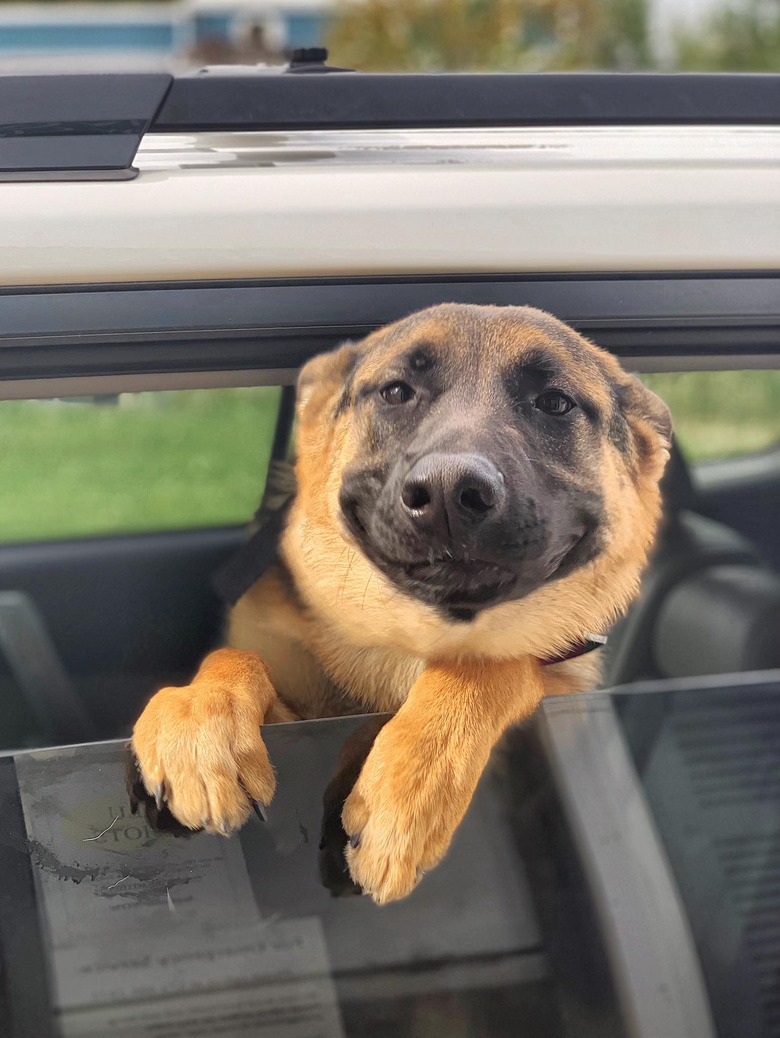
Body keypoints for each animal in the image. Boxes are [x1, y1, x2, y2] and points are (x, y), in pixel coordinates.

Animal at [129, 303, 673, 905]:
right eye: (395, 391)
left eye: (554, 402)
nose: (449, 493)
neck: (408, 637)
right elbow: (234, 659)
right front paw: (199, 717)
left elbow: (489, 668)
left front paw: (408, 788)